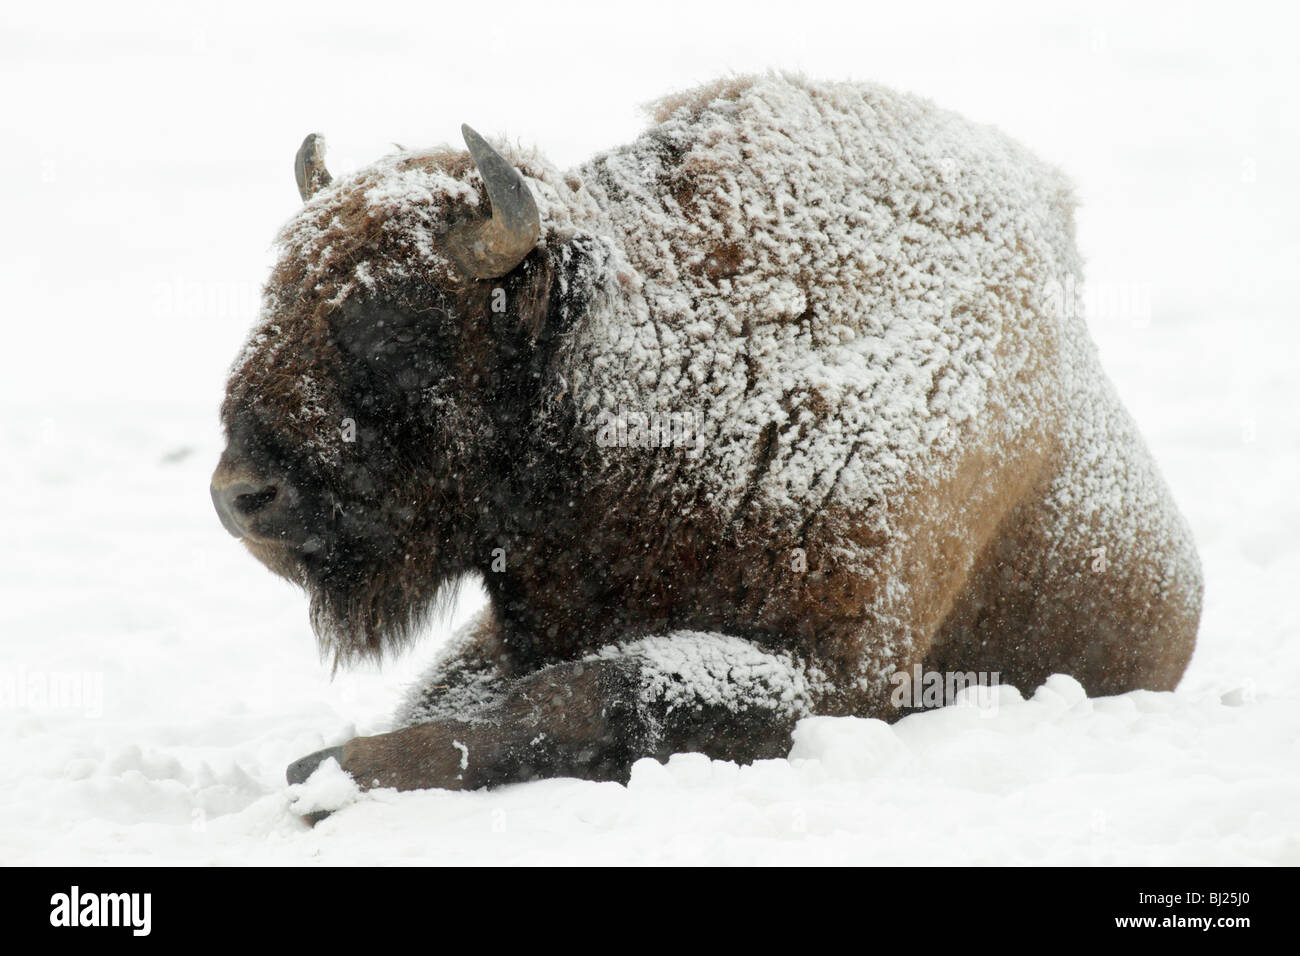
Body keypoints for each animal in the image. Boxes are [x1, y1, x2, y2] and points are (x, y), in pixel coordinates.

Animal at [210, 74, 1196, 796]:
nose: (239, 495)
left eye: (393, 324)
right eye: (277, 295)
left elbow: (588, 697)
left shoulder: (839, 672)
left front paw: (326, 772)